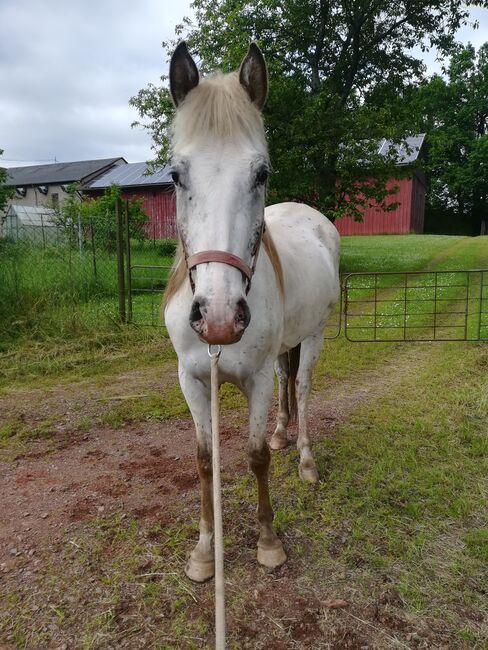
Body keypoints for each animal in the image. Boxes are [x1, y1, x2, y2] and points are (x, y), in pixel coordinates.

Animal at [164, 43, 340, 580]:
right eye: (175, 175)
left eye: (261, 173)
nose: (219, 318)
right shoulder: (192, 380)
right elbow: (204, 460)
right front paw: (204, 551)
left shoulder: (256, 379)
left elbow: (256, 455)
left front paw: (268, 542)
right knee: (288, 378)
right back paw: (285, 434)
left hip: (316, 335)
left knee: (300, 387)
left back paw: (303, 458)